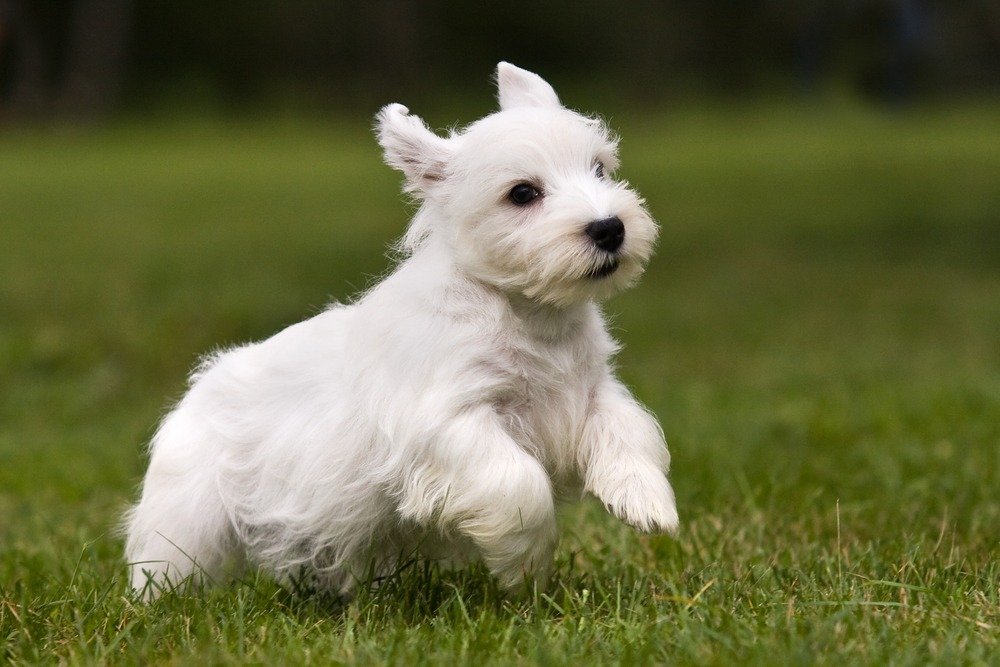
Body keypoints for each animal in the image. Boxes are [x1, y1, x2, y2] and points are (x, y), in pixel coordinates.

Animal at [121, 62, 676, 600]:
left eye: (599, 168)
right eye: (523, 193)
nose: (609, 228)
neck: (528, 313)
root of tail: (199, 385)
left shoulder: (591, 390)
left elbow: (628, 431)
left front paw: (647, 503)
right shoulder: (450, 423)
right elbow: (519, 482)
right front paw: (527, 568)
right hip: (188, 519)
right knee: (164, 564)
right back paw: (156, 606)